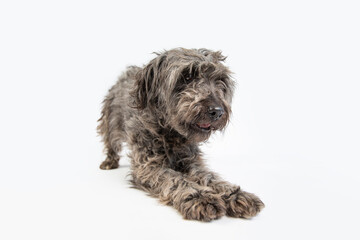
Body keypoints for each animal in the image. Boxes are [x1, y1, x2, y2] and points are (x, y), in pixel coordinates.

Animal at [97, 47, 264, 221]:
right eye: (187, 76)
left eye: (219, 80)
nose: (217, 111)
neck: (172, 135)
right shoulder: (149, 167)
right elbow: (176, 179)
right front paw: (200, 197)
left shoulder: (192, 163)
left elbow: (210, 178)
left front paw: (236, 194)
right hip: (110, 123)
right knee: (110, 144)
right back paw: (109, 162)